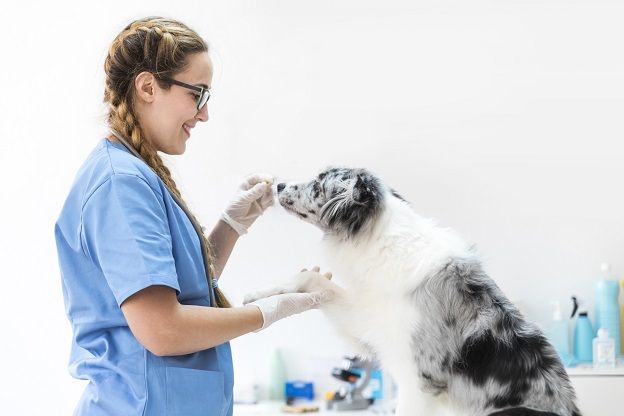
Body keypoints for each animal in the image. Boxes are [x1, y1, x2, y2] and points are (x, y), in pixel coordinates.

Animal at [246, 167, 584, 414]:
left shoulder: (418, 379)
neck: (380, 239)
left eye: (318, 183)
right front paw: (262, 296)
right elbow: (313, 281)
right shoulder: (370, 320)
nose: (278, 185)